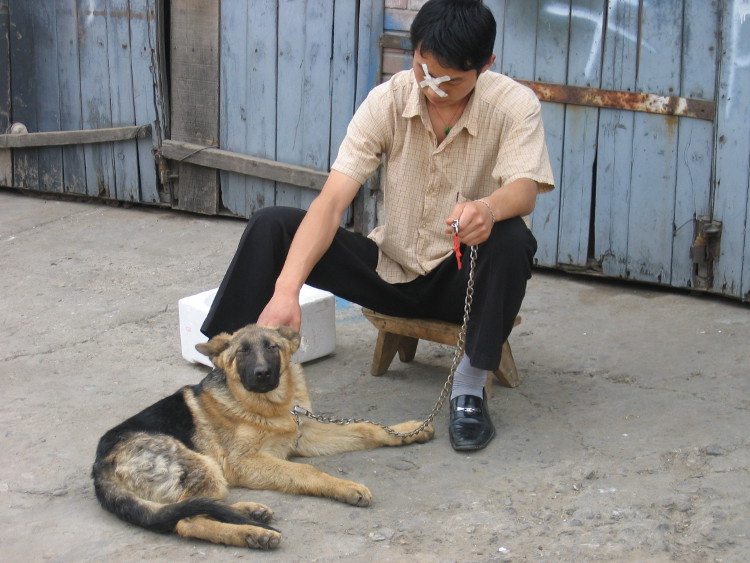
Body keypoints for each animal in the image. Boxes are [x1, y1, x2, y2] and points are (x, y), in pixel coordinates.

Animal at [92, 324, 434, 548]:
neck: (267, 406)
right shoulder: (245, 461)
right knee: (186, 519)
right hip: (202, 464)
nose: (262, 374)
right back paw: (251, 533)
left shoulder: (305, 437)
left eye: (271, 347)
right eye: (242, 352)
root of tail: (100, 467)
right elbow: (305, 471)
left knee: (198, 506)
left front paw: (406, 430)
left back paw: (248, 513)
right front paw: (346, 487)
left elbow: (365, 428)